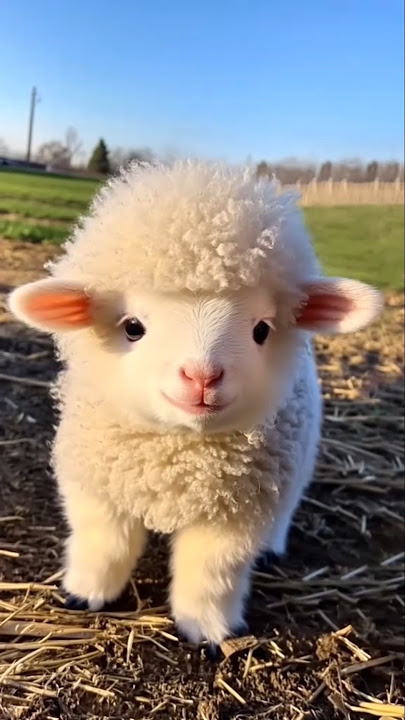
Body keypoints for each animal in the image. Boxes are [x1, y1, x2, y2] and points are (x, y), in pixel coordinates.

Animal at [8, 160, 383, 646]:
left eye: (262, 330)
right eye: (132, 327)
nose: (202, 376)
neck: (180, 458)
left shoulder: (235, 516)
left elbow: (211, 573)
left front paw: (207, 630)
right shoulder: (97, 486)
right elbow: (103, 542)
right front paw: (84, 593)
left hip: (296, 459)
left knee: (287, 504)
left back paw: (272, 547)